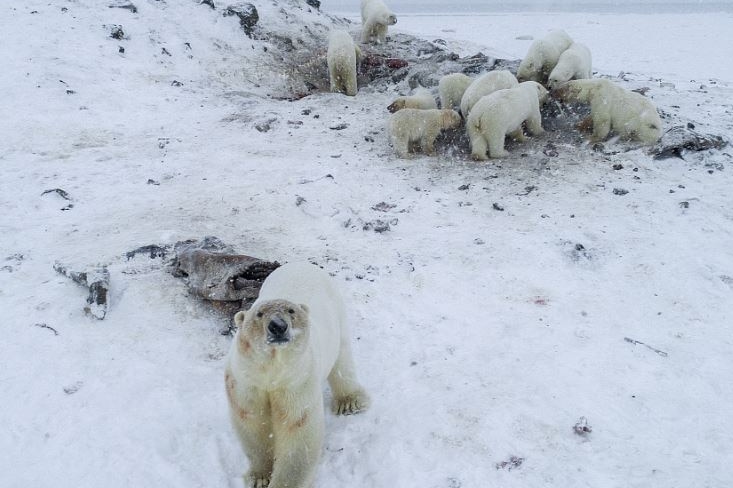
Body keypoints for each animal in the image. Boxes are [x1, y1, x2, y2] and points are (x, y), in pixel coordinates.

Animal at [226, 264, 368, 488]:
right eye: (259, 313)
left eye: (291, 311)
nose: (278, 325)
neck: (271, 372)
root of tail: (302, 264)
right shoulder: (246, 382)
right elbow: (253, 423)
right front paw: (260, 477)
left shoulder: (297, 382)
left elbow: (298, 432)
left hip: (337, 314)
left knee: (342, 358)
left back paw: (349, 402)